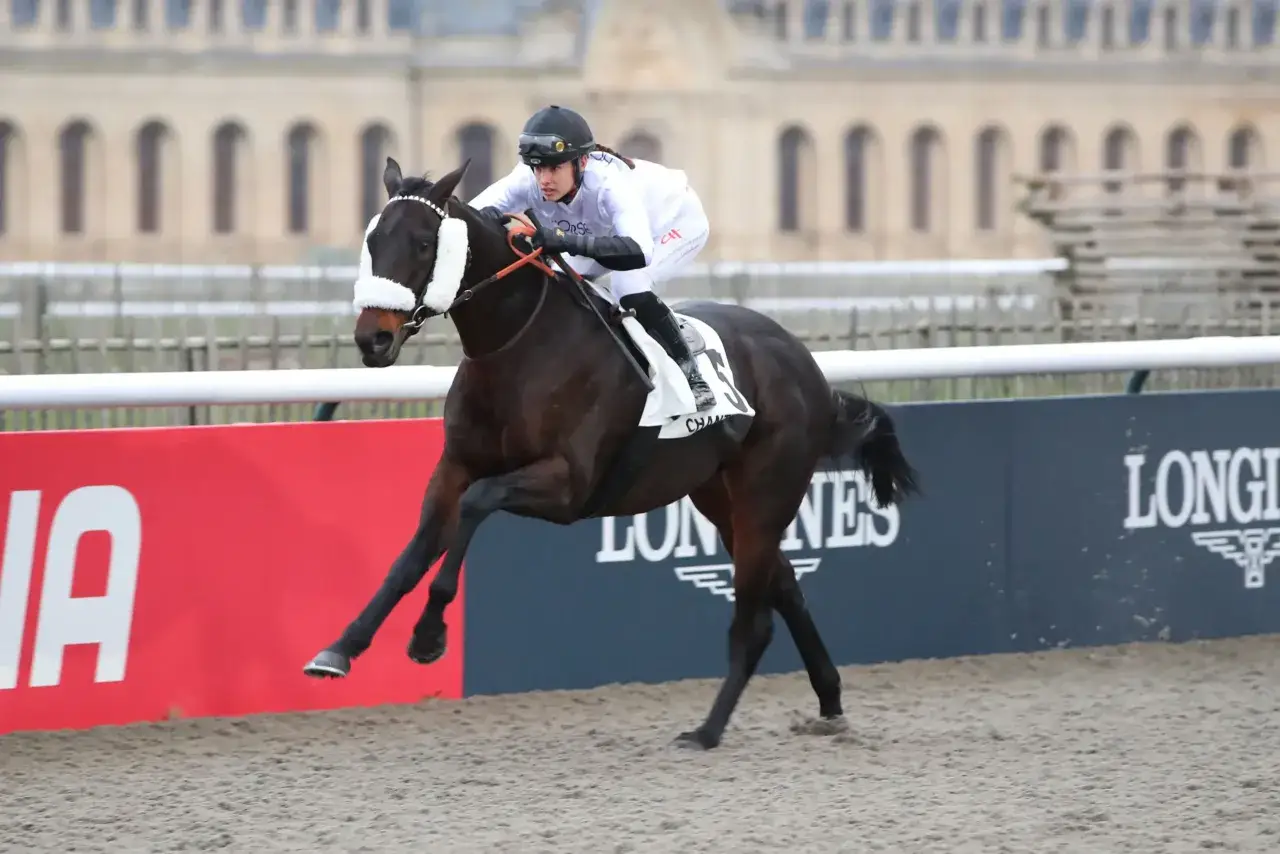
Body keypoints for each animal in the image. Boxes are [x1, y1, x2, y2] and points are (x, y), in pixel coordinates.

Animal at [302, 156, 921, 750]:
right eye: (372, 241)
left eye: (423, 244)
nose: (373, 338)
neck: (519, 348)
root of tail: (810, 368)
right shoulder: (454, 466)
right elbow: (413, 553)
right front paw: (340, 650)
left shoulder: (567, 485)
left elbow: (477, 506)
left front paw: (429, 633)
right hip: (719, 497)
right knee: (787, 587)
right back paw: (829, 702)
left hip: (766, 493)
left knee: (756, 620)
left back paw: (708, 730)